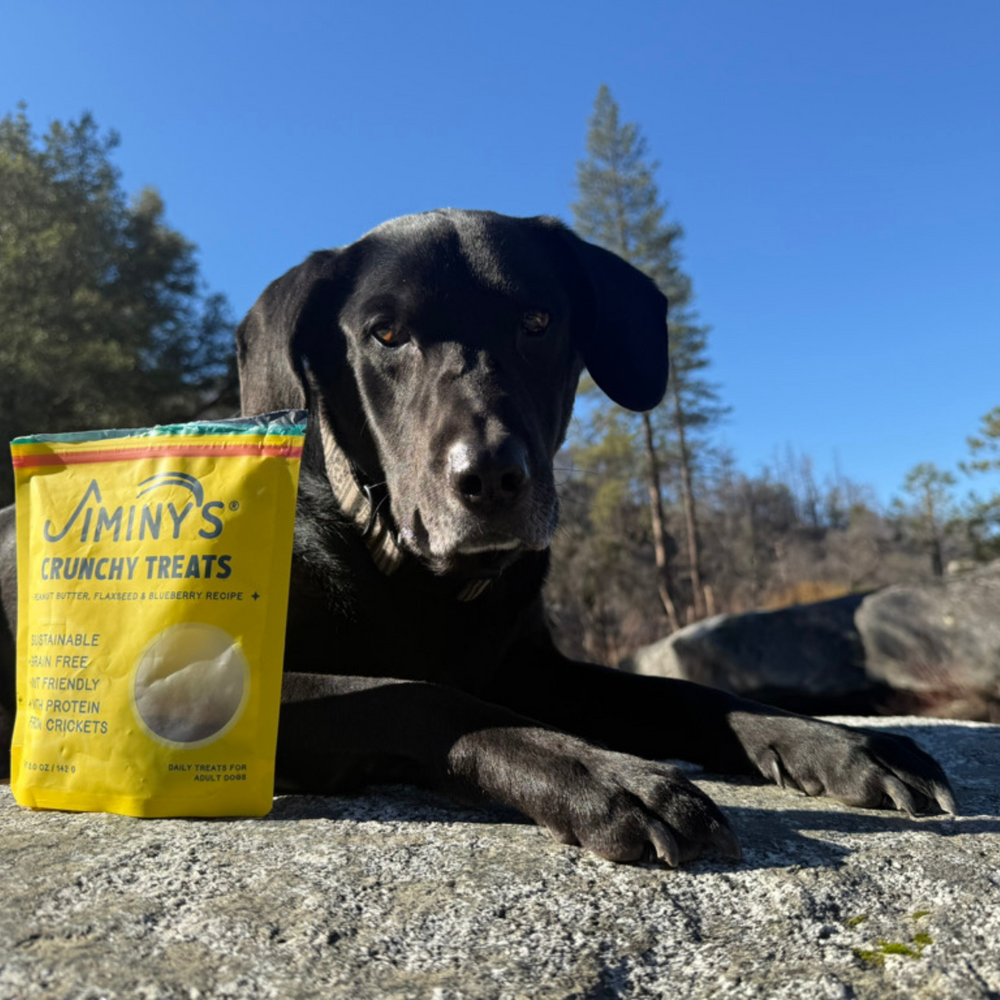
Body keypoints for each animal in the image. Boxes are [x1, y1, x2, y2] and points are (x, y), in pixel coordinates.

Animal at [0, 213, 956, 868]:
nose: (491, 479)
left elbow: (690, 693)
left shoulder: (539, 670)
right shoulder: (191, 689)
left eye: (537, 322)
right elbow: (422, 695)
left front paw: (841, 743)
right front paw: (605, 777)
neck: (413, 578)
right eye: (385, 334)